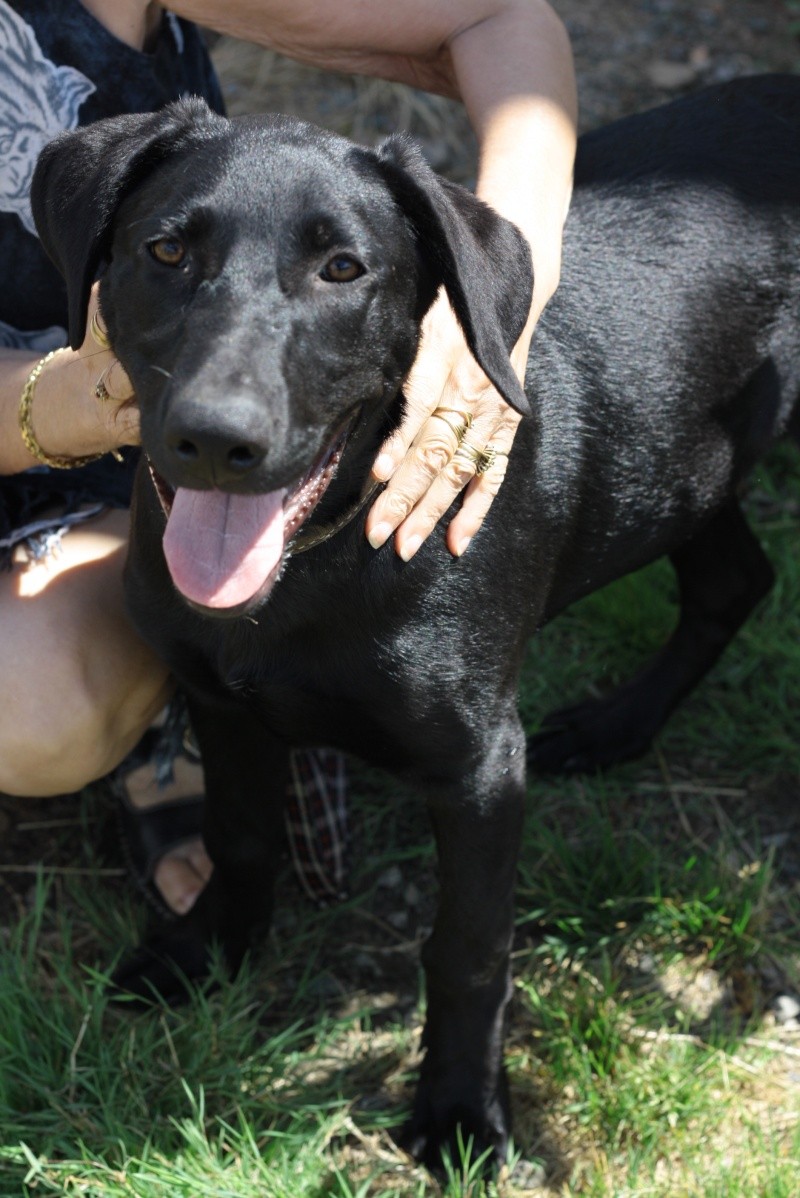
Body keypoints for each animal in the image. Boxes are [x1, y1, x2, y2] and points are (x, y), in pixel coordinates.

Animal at [31, 74, 800, 1159]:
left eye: (343, 268)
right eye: (167, 251)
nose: (216, 440)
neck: (313, 565)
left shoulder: (479, 767)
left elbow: (467, 945)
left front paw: (459, 1108)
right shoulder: (219, 702)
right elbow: (241, 834)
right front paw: (207, 954)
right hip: (683, 467)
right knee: (736, 578)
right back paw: (614, 728)